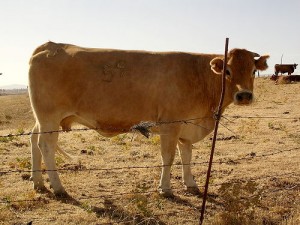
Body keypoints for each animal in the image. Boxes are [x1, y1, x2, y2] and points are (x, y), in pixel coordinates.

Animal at [28, 41, 270, 196]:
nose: (244, 95)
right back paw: (58, 188)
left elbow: (187, 155)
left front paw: (191, 184)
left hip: (42, 118)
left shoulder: (186, 126)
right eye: (227, 71)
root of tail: (50, 45)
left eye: (253, 71)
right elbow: (168, 157)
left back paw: (38, 183)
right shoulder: (171, 124)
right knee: (46, 146)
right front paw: (166, 189)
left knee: (33, 139)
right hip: (49, 117)